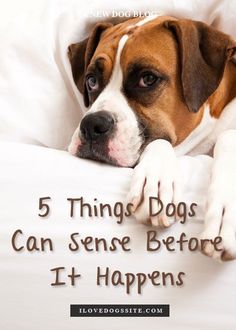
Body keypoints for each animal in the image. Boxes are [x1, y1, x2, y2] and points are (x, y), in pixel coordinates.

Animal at [67, 15, 236, 262]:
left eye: (148, 79)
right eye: (91, 80)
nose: (91, 125)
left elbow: (229, 137)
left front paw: (225, 213)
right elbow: (158, 142)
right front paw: (156, 180)